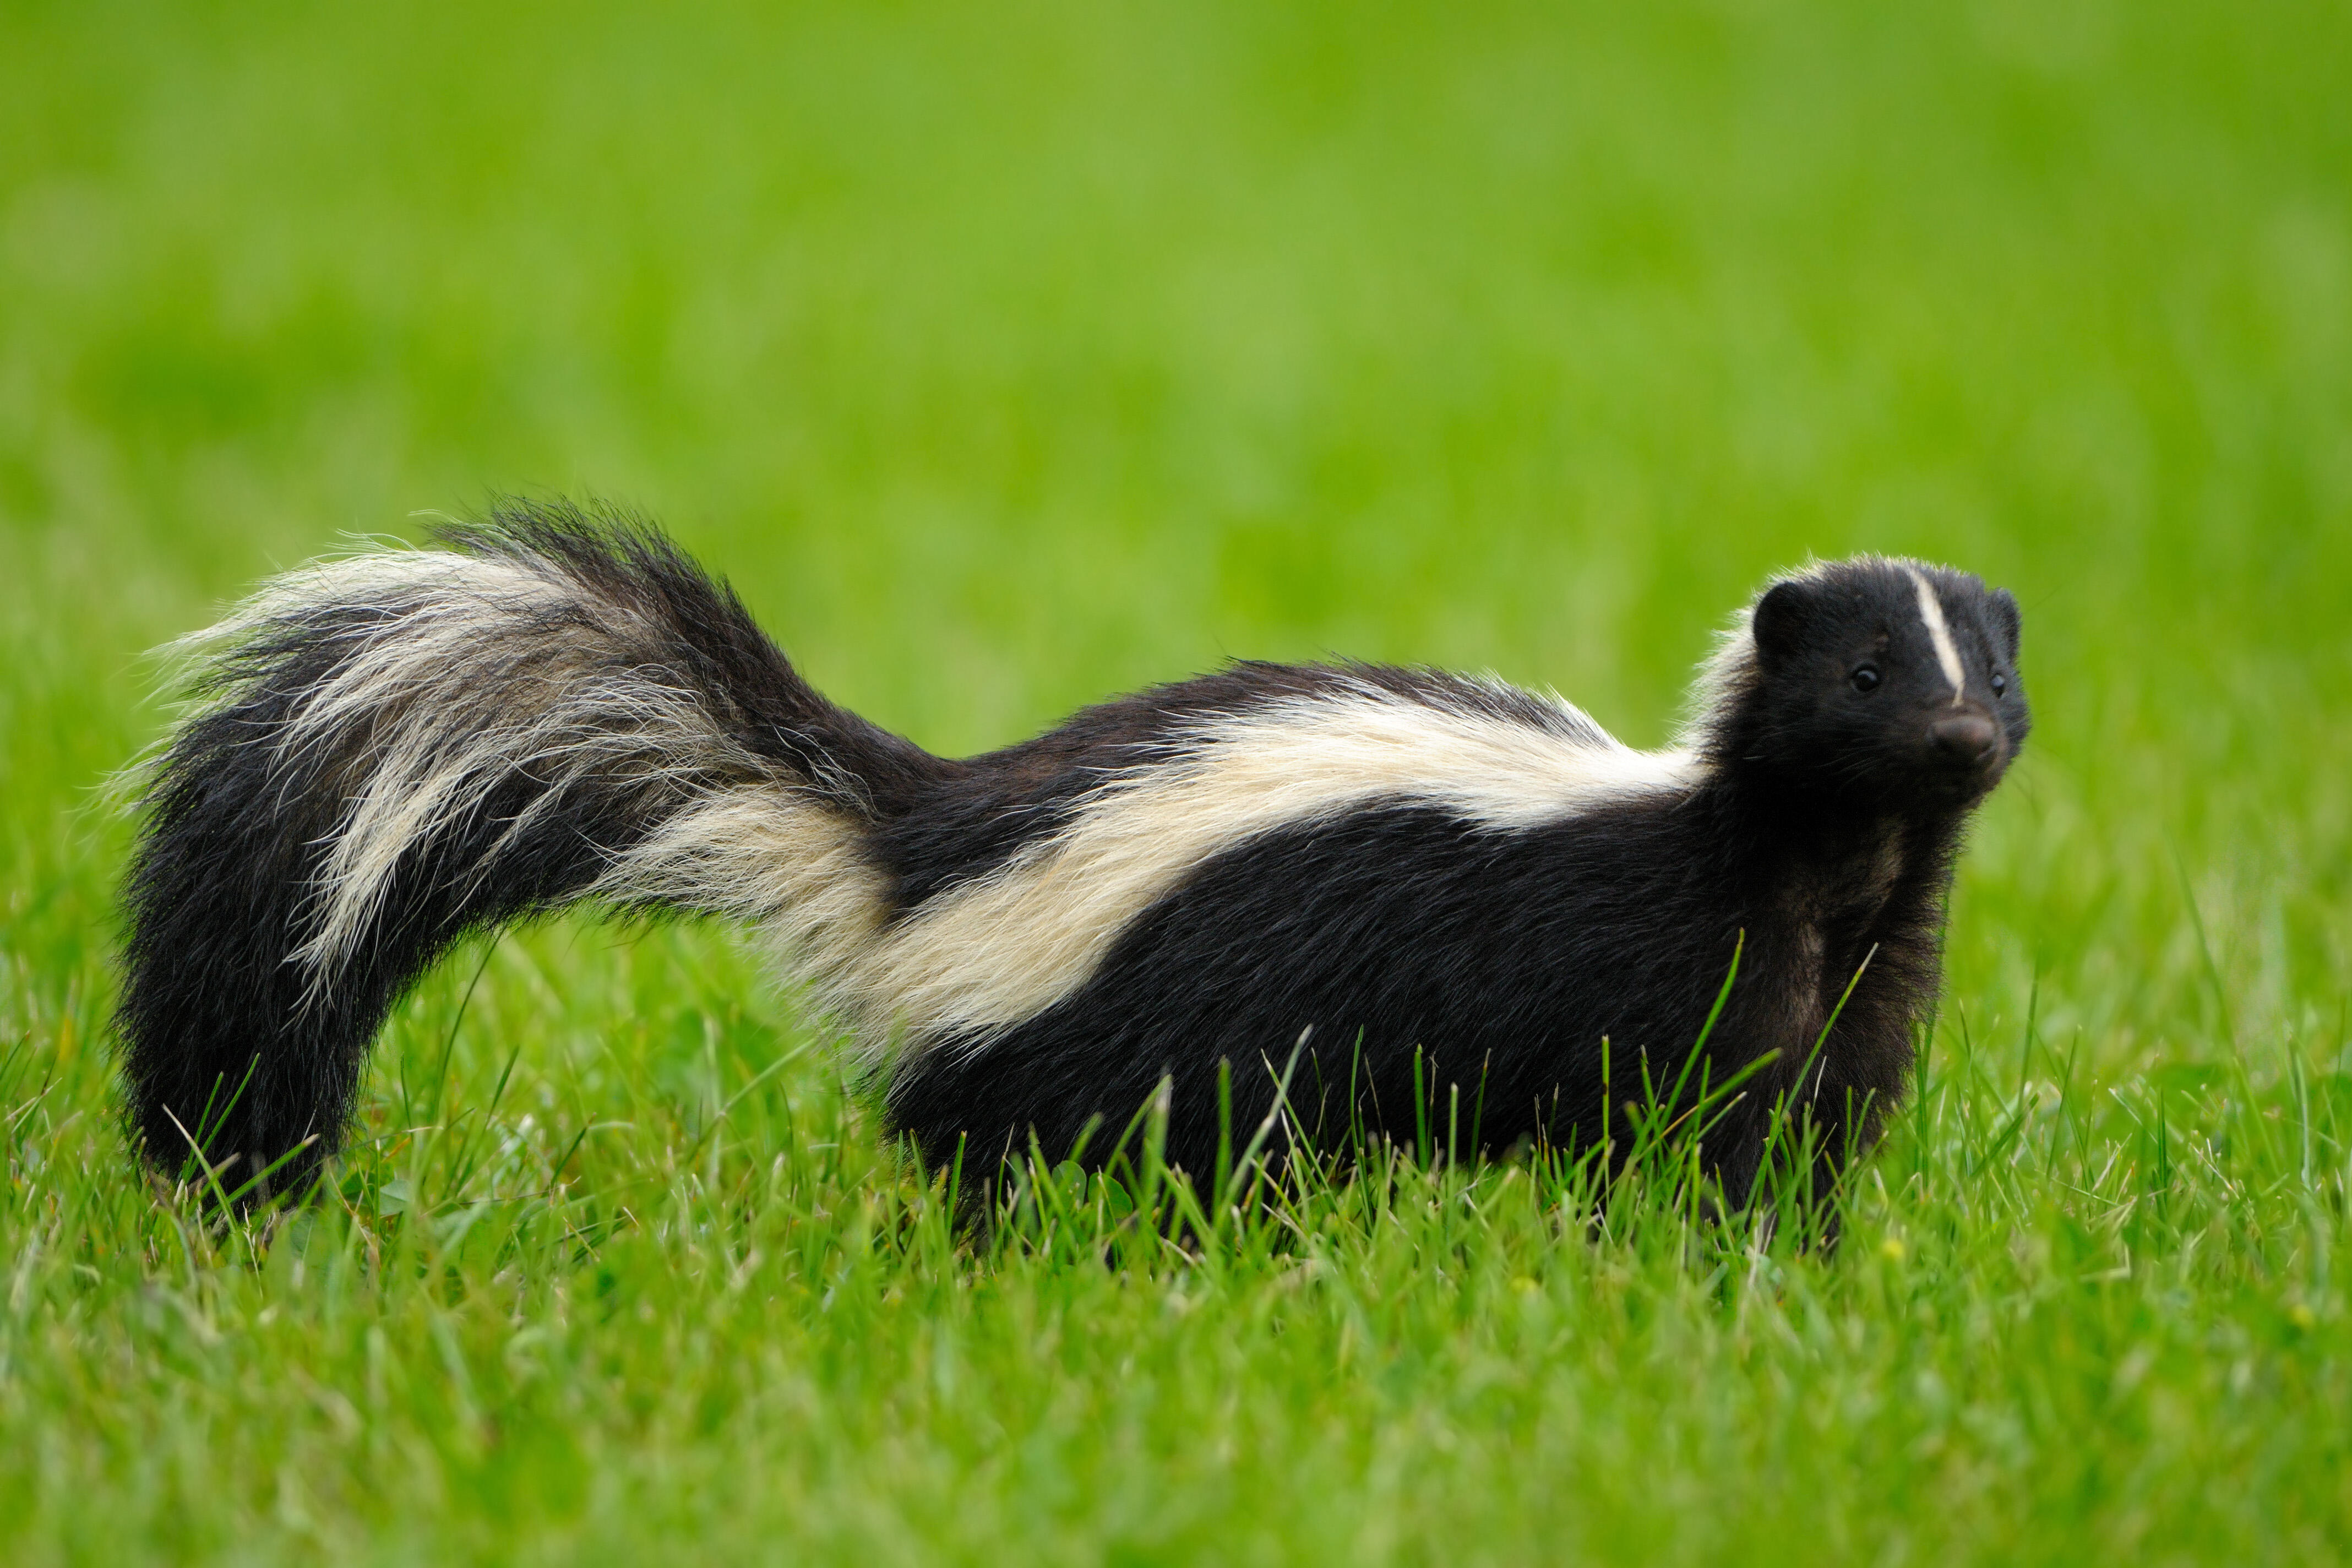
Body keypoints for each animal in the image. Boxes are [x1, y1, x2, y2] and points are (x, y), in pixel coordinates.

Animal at [115, 496, 2022, 1213]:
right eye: (1866, 676)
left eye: (1991, 670)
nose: (1964, 738)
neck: (1824, 862)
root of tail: (915, 852)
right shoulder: (1669, 954)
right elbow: (1690, 1109)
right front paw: (1699, 1240)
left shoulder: (1862, 966)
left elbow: (1817, 1117)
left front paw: (1799, 1251)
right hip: (1130, 1029)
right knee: (1066, 1158)